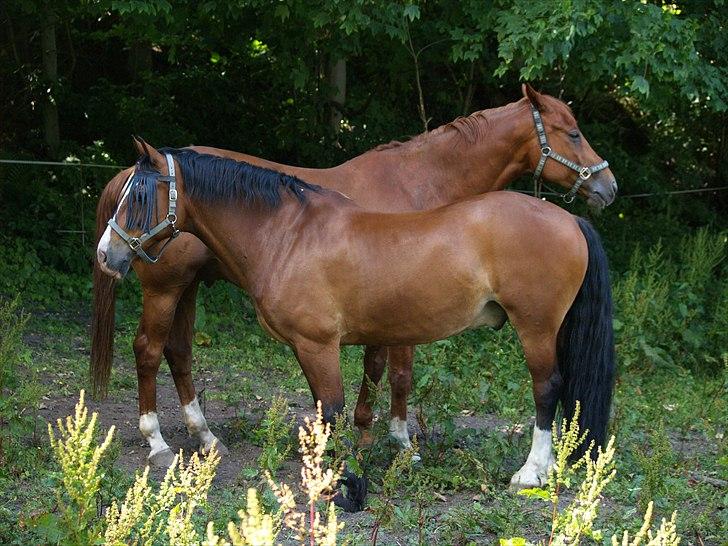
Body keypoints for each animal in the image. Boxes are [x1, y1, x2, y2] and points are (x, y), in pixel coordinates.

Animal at [88, 86, 616, 484]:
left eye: (142, 197)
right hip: (173, 288)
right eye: (572, 133)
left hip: (536, 327)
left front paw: (372, 454)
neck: (287, 229)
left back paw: (531, 472)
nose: (608, 188)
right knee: (161, 351)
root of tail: (570, 220)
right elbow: (356, 392)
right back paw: (175, 440)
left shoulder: (337, 339)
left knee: (547, 387)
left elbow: (370, 386)